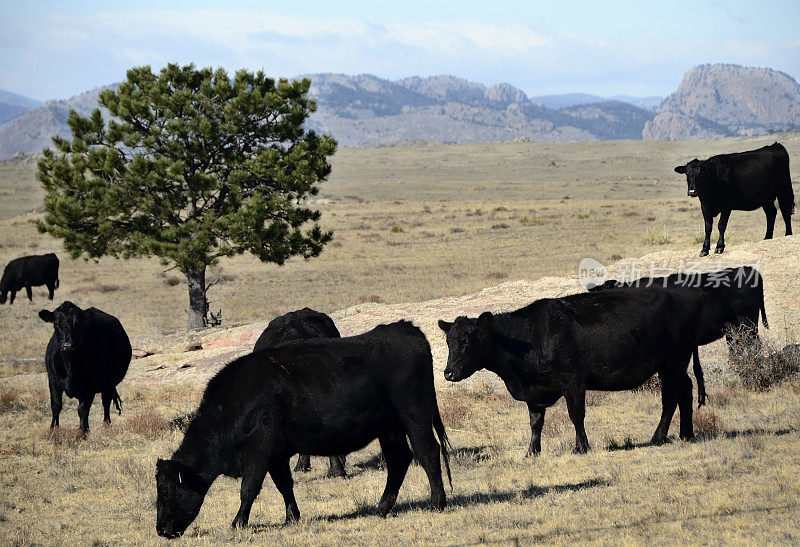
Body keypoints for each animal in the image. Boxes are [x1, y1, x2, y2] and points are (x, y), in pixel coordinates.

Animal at [37, 302, 130, 434]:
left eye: (78, 323)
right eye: (56, 324)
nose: (67, 345)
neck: (70, 367)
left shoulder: (90, 385)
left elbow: (82, 409)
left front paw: (83, 432)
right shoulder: (53, 381)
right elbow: (56, 405)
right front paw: (53, 429)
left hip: (107, 383)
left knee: (105, 403)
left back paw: (106, 425)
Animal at [438, 292, 700, 458]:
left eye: (468, 340)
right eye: (449, 341)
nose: (449, 373)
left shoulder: (572, 381)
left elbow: (576, 414)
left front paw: (581, 447)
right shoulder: (535, 393)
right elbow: (535, 422)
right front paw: (532, 452)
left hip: (673, 362)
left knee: (671, 398)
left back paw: (658, 437)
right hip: (674, 366)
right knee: (685, 391)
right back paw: (687, 434)